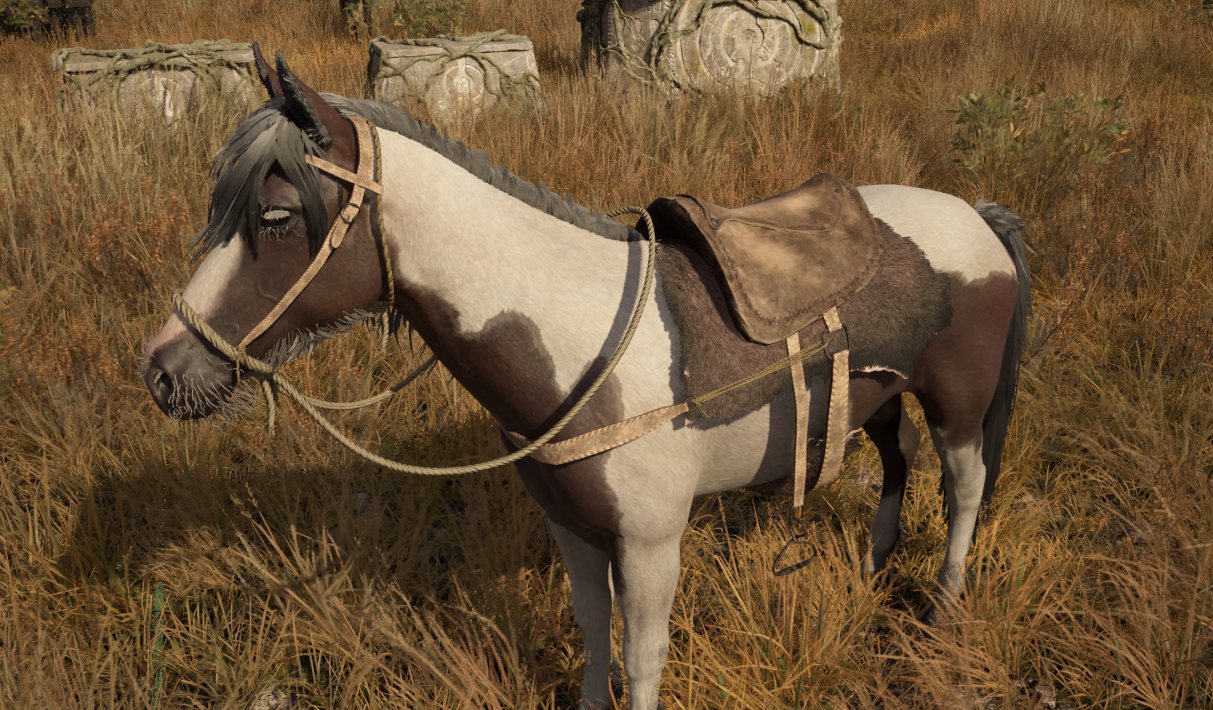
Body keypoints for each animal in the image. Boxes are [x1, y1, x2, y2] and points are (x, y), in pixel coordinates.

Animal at [140, 51, 1031, 709]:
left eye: (276, 217)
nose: (164, 371)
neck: (573, 338)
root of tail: (980, 215)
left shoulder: (649, 541)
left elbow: (641, 656)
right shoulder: (571, 528)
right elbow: (591, 630)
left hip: (958, 407)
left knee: (961, 489)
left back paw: (941, 612)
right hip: (876, 397)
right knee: (895, 456)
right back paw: (873, 568)